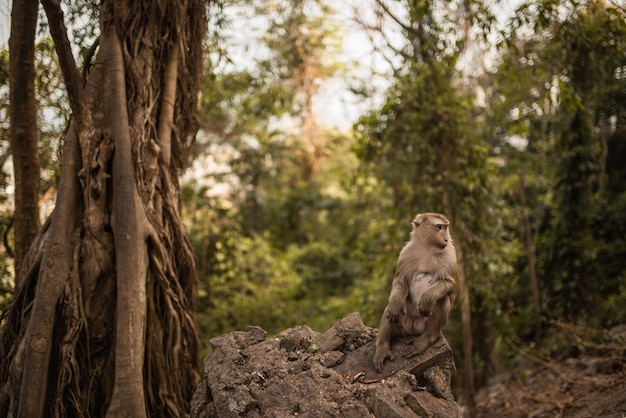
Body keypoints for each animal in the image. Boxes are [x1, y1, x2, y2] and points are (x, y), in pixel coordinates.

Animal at [370, 212, 458, 372]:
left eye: (445, 227)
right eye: (439, 227)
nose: (446, 238)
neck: (428, 248)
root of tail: (411, 330)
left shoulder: (449, 254)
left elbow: (450, 284)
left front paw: (427, 299)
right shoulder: (406, 253)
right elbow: (400, 282)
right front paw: (396, 304)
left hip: (424, 328)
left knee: (442, 299)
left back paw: (426, 339)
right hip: (402, 326)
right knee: (391, 309)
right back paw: (382, 347)